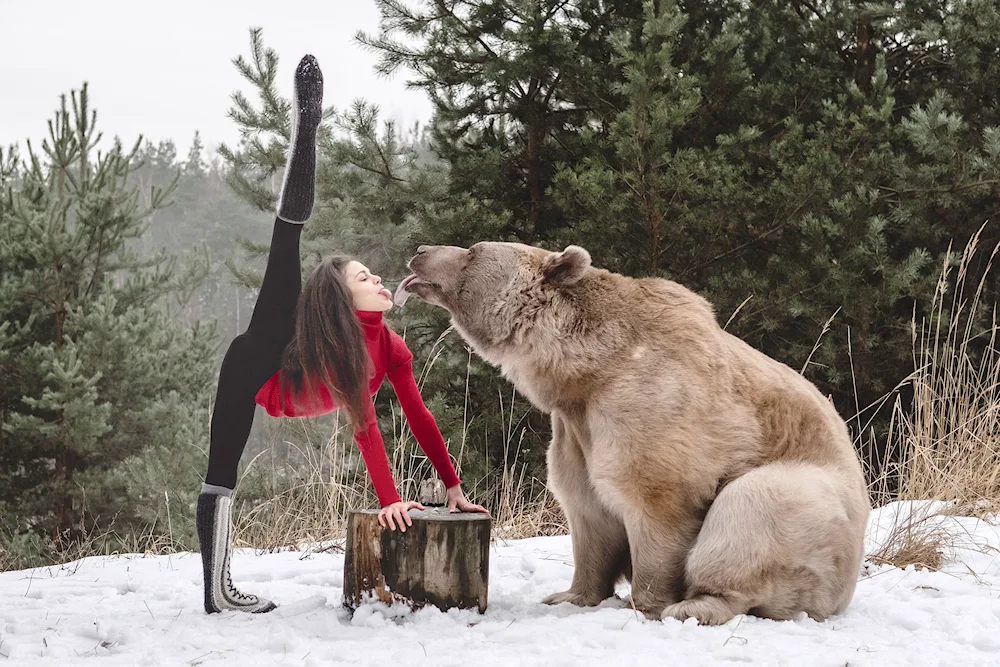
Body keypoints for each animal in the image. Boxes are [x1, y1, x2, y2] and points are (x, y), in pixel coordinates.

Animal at [394, 241, 872, 628]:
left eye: (473, 251)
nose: (420, 249)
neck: (585, 372)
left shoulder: (650, 402)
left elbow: (656, 499)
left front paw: (644, 603)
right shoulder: (575, 430)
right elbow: (586, 507)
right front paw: (567, 595)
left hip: (813, 505)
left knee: (754, 509)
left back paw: (696, 604)